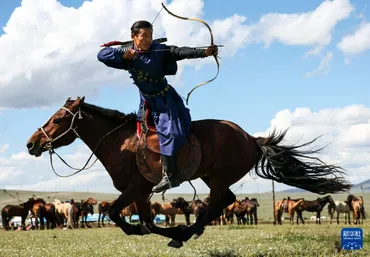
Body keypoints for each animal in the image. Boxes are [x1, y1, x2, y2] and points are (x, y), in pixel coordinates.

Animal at [26, 97, 352, 247]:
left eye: (57, 119)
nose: (31, 143)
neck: (120, 144)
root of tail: (251, 139)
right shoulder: (141, 194)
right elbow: (146, 222)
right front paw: (166, 231)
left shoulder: (135, 190)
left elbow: (121, 216)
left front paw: (172, 232)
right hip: (212, 177)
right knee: (224, 200)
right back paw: (188, 231)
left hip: (217, 178)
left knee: (217, 204)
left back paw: (187, 231)